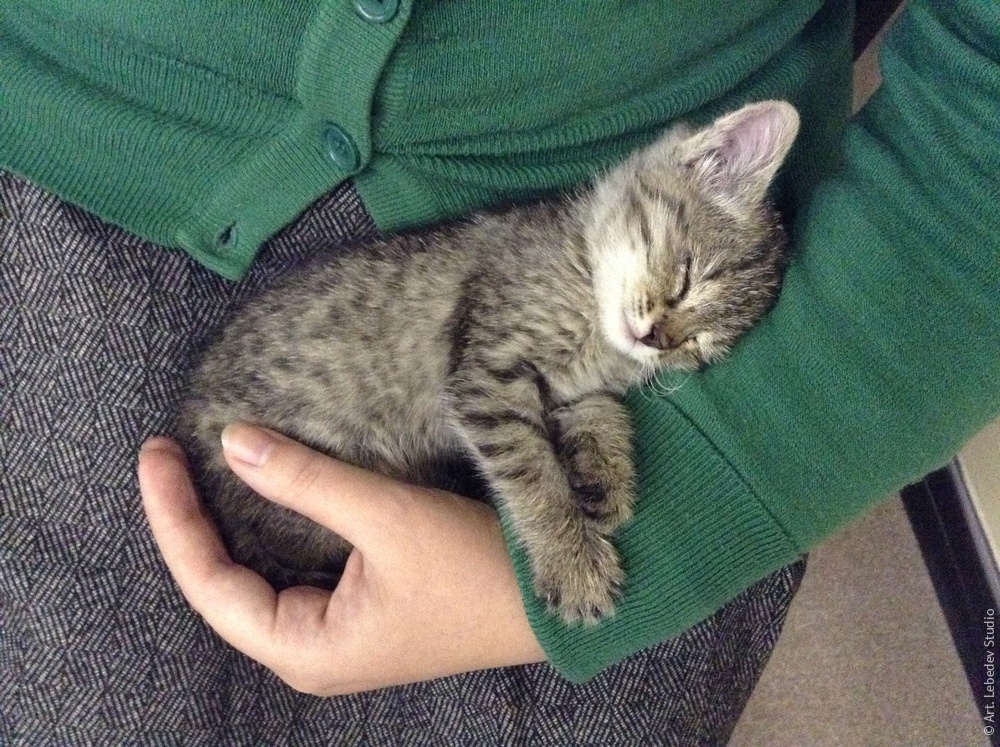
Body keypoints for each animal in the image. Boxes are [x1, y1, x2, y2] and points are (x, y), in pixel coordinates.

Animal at [179, 100, 800, 624]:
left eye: (700, 345)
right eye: (688, 275)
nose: (658, 338)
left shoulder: (565, 387)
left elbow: (600, 411)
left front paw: (604, 475)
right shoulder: (487, 375)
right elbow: (531, 471)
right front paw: (571, 561)